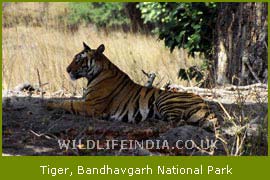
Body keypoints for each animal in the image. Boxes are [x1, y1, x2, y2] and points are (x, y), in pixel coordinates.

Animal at [47, 42, 217, 131]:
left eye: (79, 60)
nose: (67, 69)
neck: (95, 74)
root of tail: (205, 104)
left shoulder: (91, 105)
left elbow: (68, 103)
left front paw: (49, 103)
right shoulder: (87, 101)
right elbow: (69, 100)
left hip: (164, 99)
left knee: (176, 122)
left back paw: (150, 123)